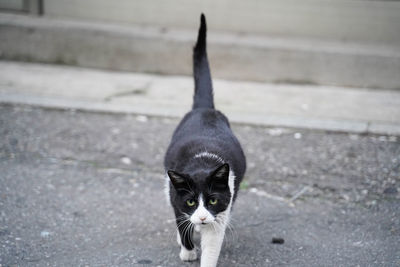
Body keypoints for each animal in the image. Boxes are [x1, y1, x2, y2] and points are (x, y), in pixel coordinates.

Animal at [163, 14, 247, 267]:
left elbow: (212, 245)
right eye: (191, 202)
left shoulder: (221, 209)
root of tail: (204, 109)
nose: (201, 217)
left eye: (212, 200)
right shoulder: (176, 199)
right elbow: (183, 226)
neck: (202, 161)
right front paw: (188, 251)